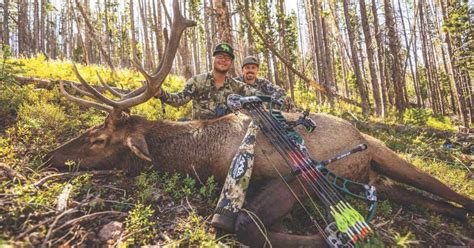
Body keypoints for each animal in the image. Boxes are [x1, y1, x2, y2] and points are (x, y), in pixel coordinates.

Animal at [44, 0, 470, 246]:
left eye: (98, 138)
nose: (51, 155)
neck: (203, 156)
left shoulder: (295, 175)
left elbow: (245, 224)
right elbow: (245, 223)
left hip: (384, 154)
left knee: (456, 196)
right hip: (379, 180)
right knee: (445, 205)